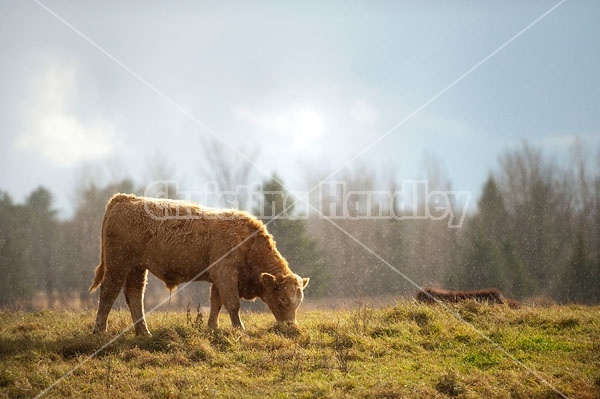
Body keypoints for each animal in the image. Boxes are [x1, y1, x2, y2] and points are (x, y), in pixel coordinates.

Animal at [92, 193, 314, 334]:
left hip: (137, 269)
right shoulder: (226, 275)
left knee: (135, 296)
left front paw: (212, 327)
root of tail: (123, 199)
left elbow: (216, 303)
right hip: (118, 266)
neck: (246, 242)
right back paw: (100, 330)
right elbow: (233, 304)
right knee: (108, 293)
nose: (292, 327)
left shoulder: (218, 280)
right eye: (283, 298)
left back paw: (143, 332)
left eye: (299, 301)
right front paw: (240, 329)